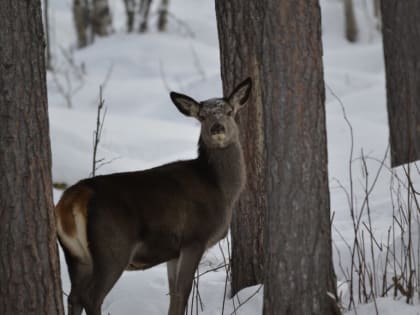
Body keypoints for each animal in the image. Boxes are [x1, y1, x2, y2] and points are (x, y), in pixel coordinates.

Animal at [55, 78, 253, 315]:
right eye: (202, 116)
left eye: (230, 112)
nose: (217, 128)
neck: (220, 188)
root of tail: (72, 199)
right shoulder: (195, 238)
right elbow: (183, 293)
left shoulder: (173, 252)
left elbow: (173, 294)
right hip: (112, 247)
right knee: (91, 296)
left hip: (75, 255)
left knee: (74, 297)